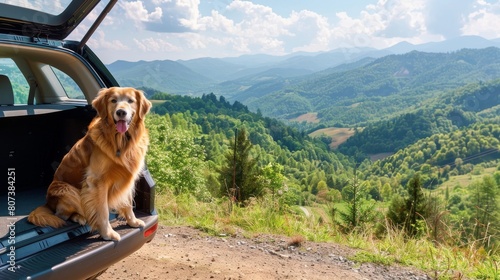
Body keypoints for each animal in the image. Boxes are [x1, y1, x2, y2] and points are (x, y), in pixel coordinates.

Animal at [27, 87, 150, 241]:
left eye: (130, 101)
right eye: (113, 100)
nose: (121, 112)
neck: (120, 141)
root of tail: (48, 204)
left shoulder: (127, 177)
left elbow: (128, 202)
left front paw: (132, 221)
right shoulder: (97, 182)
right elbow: (102, 211)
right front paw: (107, 233)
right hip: (66, 189)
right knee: (62, 215)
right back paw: (79, 217)